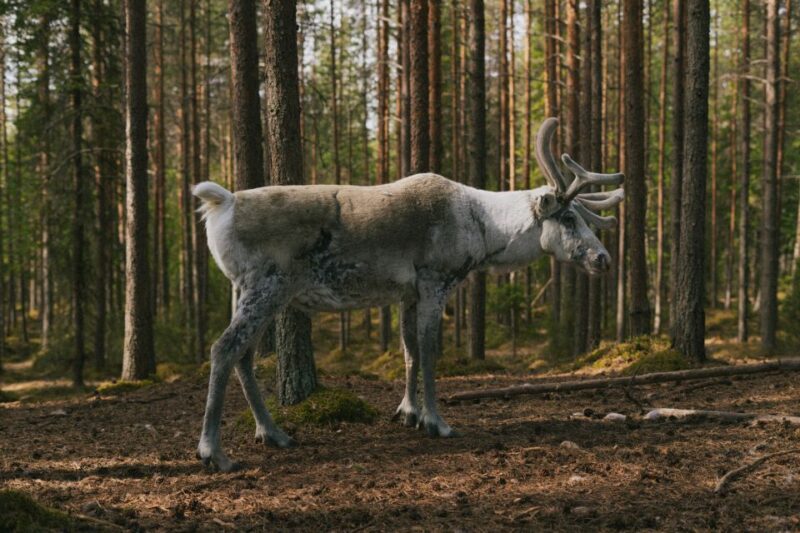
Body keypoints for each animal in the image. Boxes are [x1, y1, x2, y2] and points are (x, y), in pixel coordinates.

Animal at [192, 117, 624, 472]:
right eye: (568, 218)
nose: (603, 259)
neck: (484, 228)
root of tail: (223, 204)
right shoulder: (436, 280)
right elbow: (430, 351)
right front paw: (438, 422)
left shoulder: (406, 292)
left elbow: (409, 350)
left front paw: (409, 413)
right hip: (265, 287)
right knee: (223, 348)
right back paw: (214, 451)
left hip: (249, 291)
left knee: (244, 355)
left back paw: (273, 433)